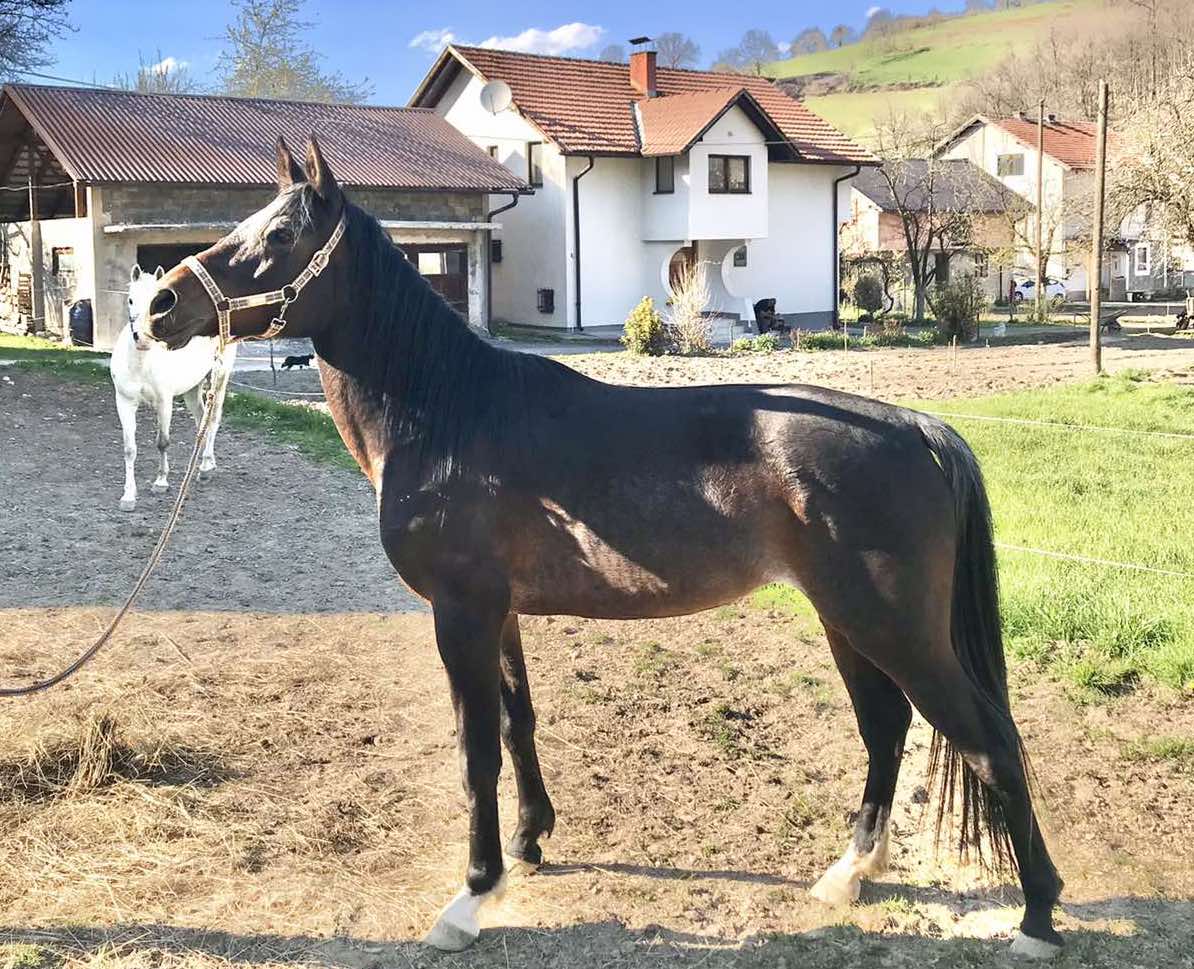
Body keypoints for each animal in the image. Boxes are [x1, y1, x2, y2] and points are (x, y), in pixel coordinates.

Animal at [112, 261, 238, 510]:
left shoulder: (164, 402)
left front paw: (161, 482)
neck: (141, 364)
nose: (140, 338)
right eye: (130, 300)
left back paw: (206, 466)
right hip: (192, 389)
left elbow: (163, 442)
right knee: (201, 421)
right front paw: (128, 496)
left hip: (219, 377)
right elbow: (129, 449)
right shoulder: (125, 402)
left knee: (213, 420)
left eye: (156, 303)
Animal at [146, 140, 1065, 959]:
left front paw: (471, 895)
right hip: (848, 621)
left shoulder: (461, 613)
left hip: (891, 627)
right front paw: (529, 844)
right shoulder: (498, 614)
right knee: (886, 726)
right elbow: (517, 722)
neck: (448, 413)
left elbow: (475, 750)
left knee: (988, 740)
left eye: (278, 235)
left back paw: (1037, 916)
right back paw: (851, 871)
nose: (160, 305)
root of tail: (919, 428)